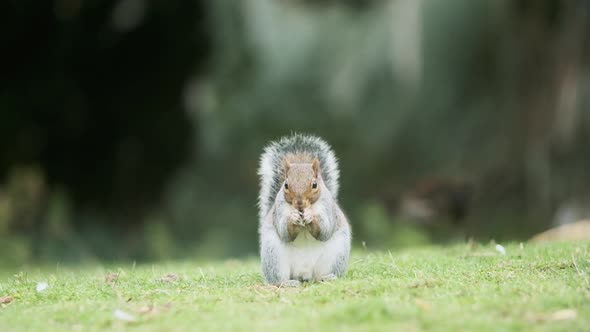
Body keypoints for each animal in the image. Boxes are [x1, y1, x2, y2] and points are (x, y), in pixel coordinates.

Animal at [256, 134, 350, 286]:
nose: (299, 204)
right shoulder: (279, 208)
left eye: (314, 184)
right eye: (286, 185)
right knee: (278, 279)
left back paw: (327, 278)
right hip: (274, 256)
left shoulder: (328, 206)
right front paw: (293, 217)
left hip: (335, 255)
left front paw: (311, 215)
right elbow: (284, 231)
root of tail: (304, 274)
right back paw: (288, 283)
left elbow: (325, 229)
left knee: (320, 275)